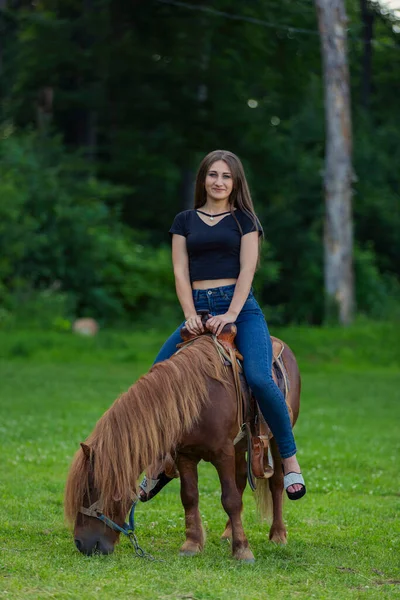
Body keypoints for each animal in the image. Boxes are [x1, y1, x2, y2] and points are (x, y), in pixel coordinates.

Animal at [64, 332, 300, 564]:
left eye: (89, 491)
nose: (80, 543)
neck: (200, 397)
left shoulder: (223, 453)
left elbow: (230, 500)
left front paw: (242, 550)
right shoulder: (185, 455)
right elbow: (189, 496)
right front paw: (192, 544)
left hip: (275, 440)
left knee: (276, 483)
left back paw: (278, 534)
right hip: (241, 446)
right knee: (242, 479)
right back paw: (227, 533)